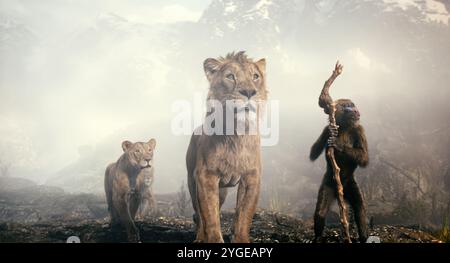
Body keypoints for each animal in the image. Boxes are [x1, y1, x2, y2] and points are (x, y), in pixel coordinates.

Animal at [186, 51, 268, 243]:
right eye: (230, 76)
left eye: (255, 76)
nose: (249, 92)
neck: (236, 133)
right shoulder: (206, 176)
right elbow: (210, 216)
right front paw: (214, 239)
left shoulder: (251, 177)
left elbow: (244, 215)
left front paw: (240, 239)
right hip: (192, 182)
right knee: (199, 214)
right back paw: (200, 237)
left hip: (222, 191)